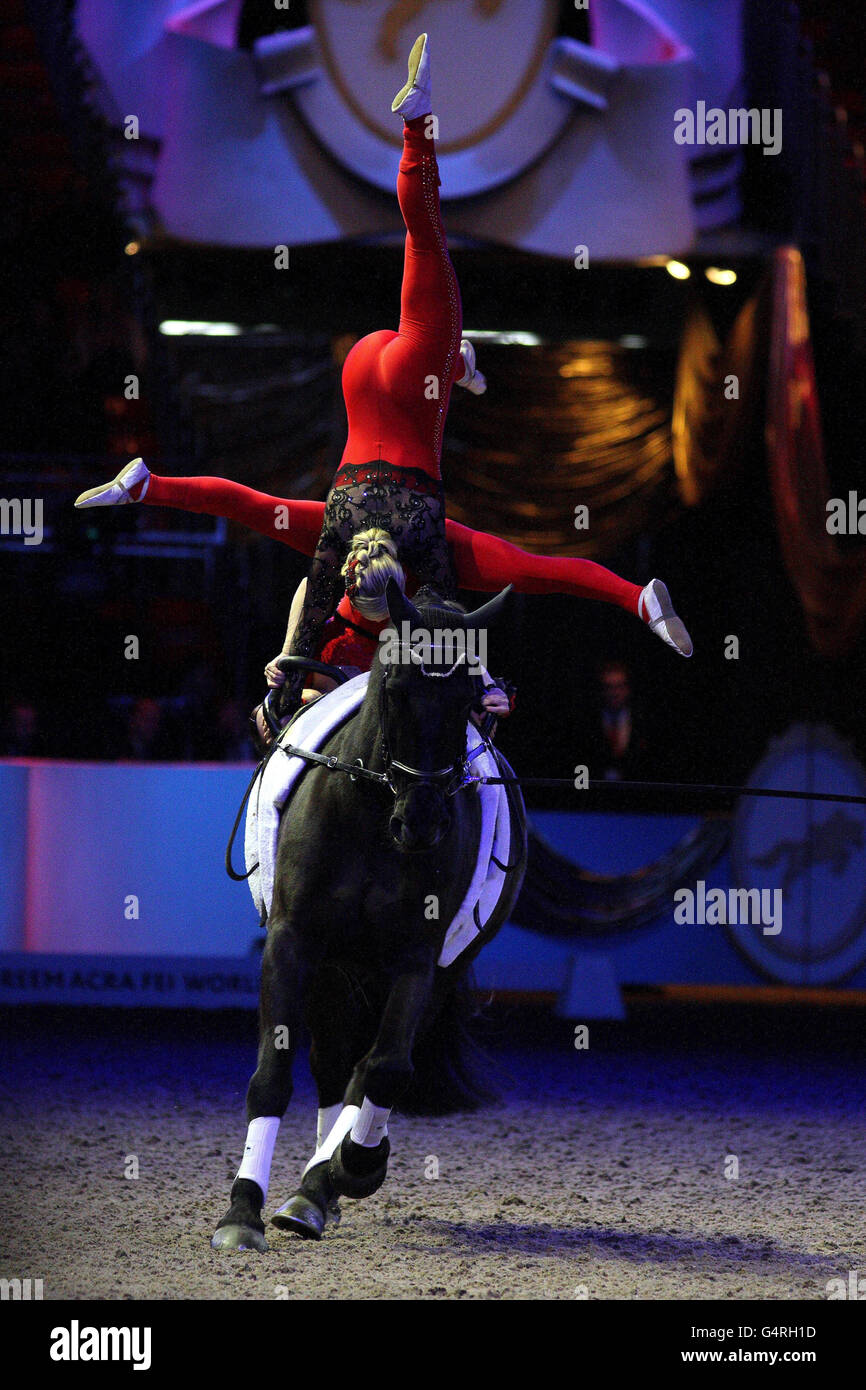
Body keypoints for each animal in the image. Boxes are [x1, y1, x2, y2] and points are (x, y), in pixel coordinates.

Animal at [215, 581, 528, 1256]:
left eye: (470, 698)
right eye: (397, 687)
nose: (424, 821)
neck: (371, 815)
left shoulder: (419, 957)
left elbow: (384, 1070)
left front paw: (356, 1166)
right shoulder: (294, 943)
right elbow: (273, 1075)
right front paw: (242, 1214)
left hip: (428, 970)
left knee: (366, 1069)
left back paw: (324, 1183)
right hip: (336, 970)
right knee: (333, 1066)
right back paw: (311, 1192)